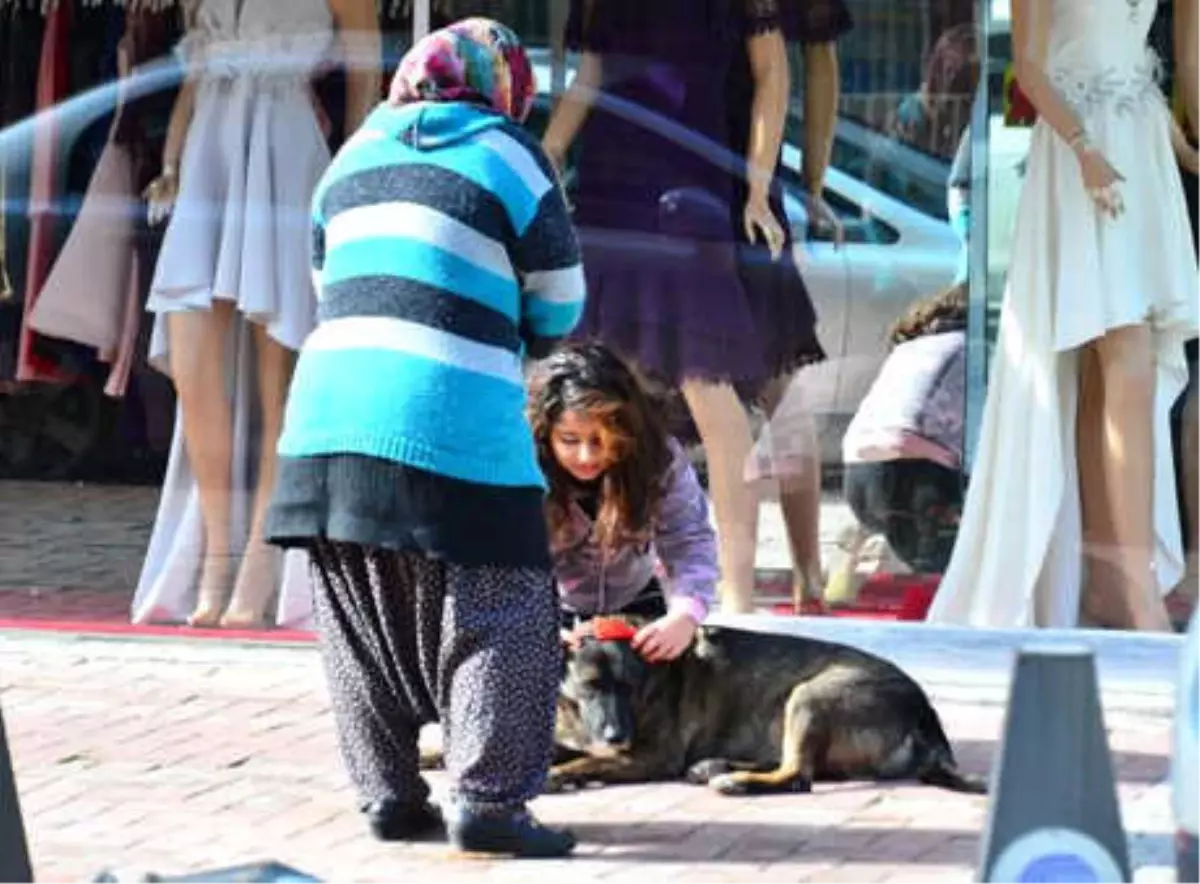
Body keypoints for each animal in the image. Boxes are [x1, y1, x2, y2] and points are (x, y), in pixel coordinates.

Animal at [422, 618, 984, 796]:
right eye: (591, 685)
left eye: (630, 686)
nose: (617, 735)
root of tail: (926, 713)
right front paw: (432, 755)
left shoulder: (649, 756)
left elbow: (582, 762)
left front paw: (562, 776)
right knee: (803, 769)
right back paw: (717, 766)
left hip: (809, 695)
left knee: (798, 775)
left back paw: (735, 780)